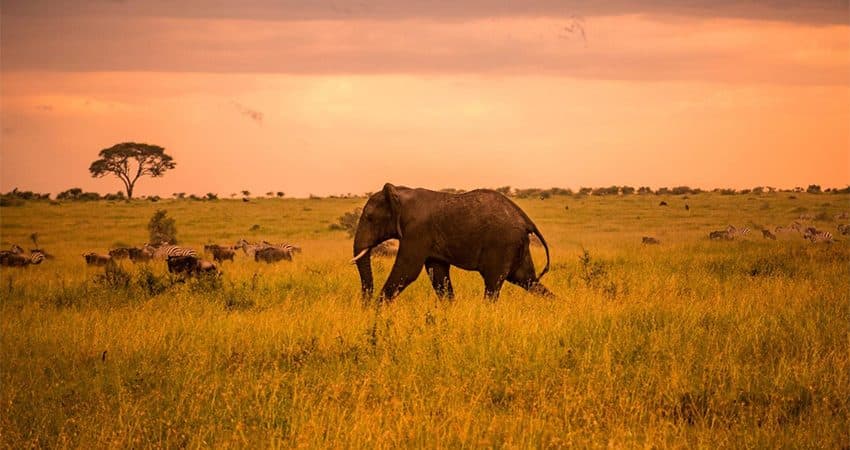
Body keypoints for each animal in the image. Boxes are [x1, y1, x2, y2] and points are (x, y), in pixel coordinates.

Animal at [352, 183, 553, 302]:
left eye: (369, 218)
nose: (365, 304)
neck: (399, 193)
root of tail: (526, 220)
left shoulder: (417, 231)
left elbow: (407, 271)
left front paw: (375, 313)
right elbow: (437, 274)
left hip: (502, 244)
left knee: (493, 285)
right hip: (517, 246)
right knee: (527, 280)